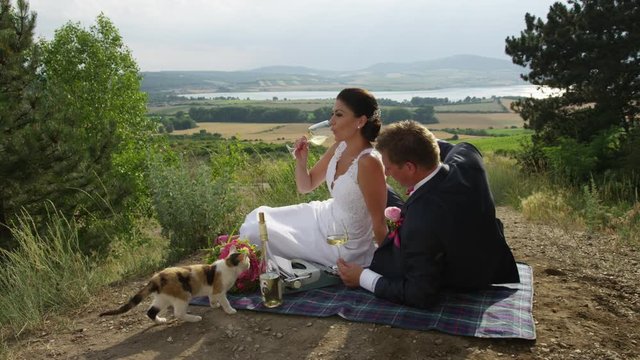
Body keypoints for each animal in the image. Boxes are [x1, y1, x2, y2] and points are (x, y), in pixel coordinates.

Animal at [99, 248, 250, 324]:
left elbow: (211, 298)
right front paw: (230, 310)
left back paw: (160, 321)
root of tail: (156, 278)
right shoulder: (219, 291)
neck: (229, 266)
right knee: (178, 313)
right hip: (183, 295)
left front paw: (214, 305)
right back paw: (194, 318)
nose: (249, 263)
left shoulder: (213, 291)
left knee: (150, 311)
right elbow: (225, 301)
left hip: (163, 298)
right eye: (248, 259)